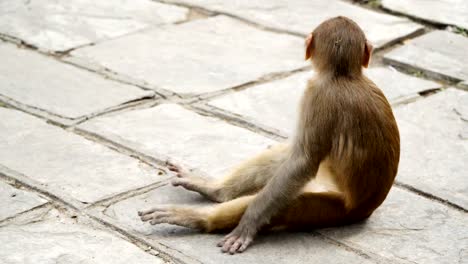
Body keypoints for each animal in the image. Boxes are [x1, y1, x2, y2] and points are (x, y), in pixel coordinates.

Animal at [138, 16, 398, 254]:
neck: (345, 76)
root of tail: (364, 210)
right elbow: (296, 160)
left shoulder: (316, 95)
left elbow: (302, 164)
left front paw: (248, 223)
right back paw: (216, 190)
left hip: (331, 207)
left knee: (292, 198)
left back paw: (200, 219)